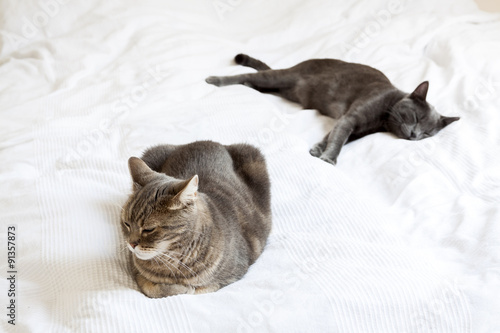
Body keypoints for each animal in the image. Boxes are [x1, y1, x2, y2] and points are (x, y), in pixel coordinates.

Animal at [120, 139, 272, 296]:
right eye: (126, 224)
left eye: (149, 229)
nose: (131, 244)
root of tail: (206, 141)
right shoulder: (135, 269)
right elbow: (153, 288)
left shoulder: (231, 275)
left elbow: (198, 288)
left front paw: (185, 288)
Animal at [205, 53, 458, 164]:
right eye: (416, 117)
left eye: (427, 134)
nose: (415, 135)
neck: (382, 120)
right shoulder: (351, 117)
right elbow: (339, 139)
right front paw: (329, 158)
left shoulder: (353, 125)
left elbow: (334, 135)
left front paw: (318, 150)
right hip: (283, 77)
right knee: (249, 75)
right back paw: (215, 80)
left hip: (283, 89)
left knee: (257, 83)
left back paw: (248, 87)